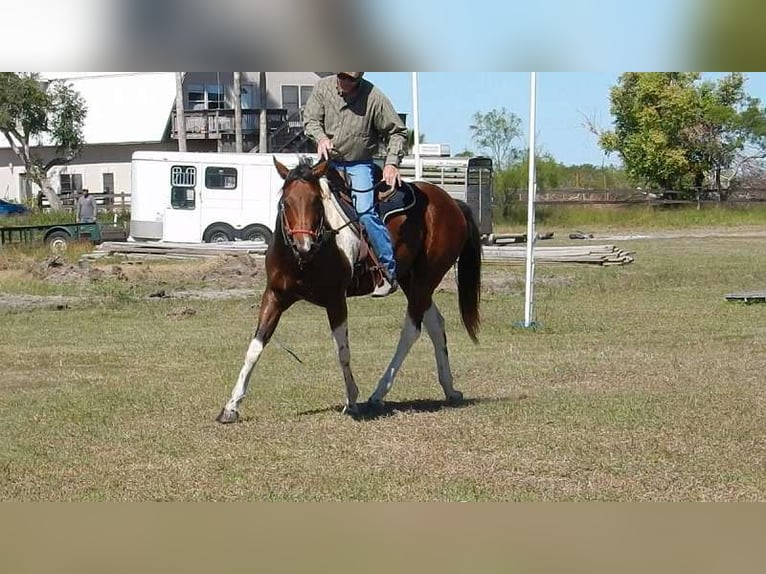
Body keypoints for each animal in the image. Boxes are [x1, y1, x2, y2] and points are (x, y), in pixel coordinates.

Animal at [216, 156, 481, 423]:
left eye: (316, 201)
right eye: (285, 202)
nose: (304, 245)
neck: (304, 259)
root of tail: (452, 203)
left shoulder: (336, 301)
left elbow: (342, 351)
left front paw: (352, 401)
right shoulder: (274, 296)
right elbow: (255, 347)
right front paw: (231, 406)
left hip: (425, 281)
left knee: (411, 331)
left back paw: (378, 393)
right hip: (411, 281)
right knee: (435, 324)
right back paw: (449, 388)